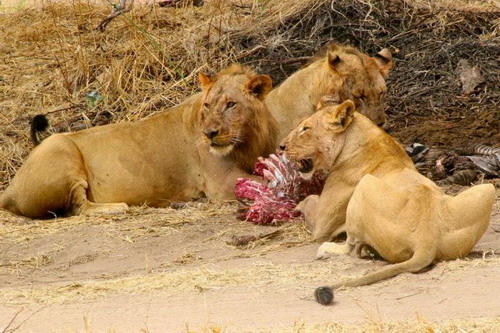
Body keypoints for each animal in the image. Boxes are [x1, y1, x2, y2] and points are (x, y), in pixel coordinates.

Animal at [0, 64, 278, 218]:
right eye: (208, 105)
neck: (249, 138)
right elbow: (263, 183)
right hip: (59, 146)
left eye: (231, 104)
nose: (209, 133)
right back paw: (116, 207)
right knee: (77, 207)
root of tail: (9, 190)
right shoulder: (222, 182)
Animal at [282, 96, 496, 304]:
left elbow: (309, 200)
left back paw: (328, 249)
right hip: (488, 189)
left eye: (305, 128)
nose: (281, 146)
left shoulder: (322, 224)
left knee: (352, 249)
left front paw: (297, 205)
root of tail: (426, 240)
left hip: (364, 184)